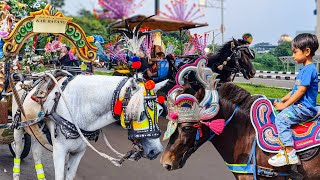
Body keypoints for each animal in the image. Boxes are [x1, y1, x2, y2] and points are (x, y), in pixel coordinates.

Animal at [11, 73, 168, 180]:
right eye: (137, 114)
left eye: (160, 111)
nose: (156, 151)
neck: (78, 105)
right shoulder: (59, 151)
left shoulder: (79, 152)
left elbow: (70, 176)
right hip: (18, 128)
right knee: (18, 151)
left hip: (36, 131)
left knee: (36, 153)